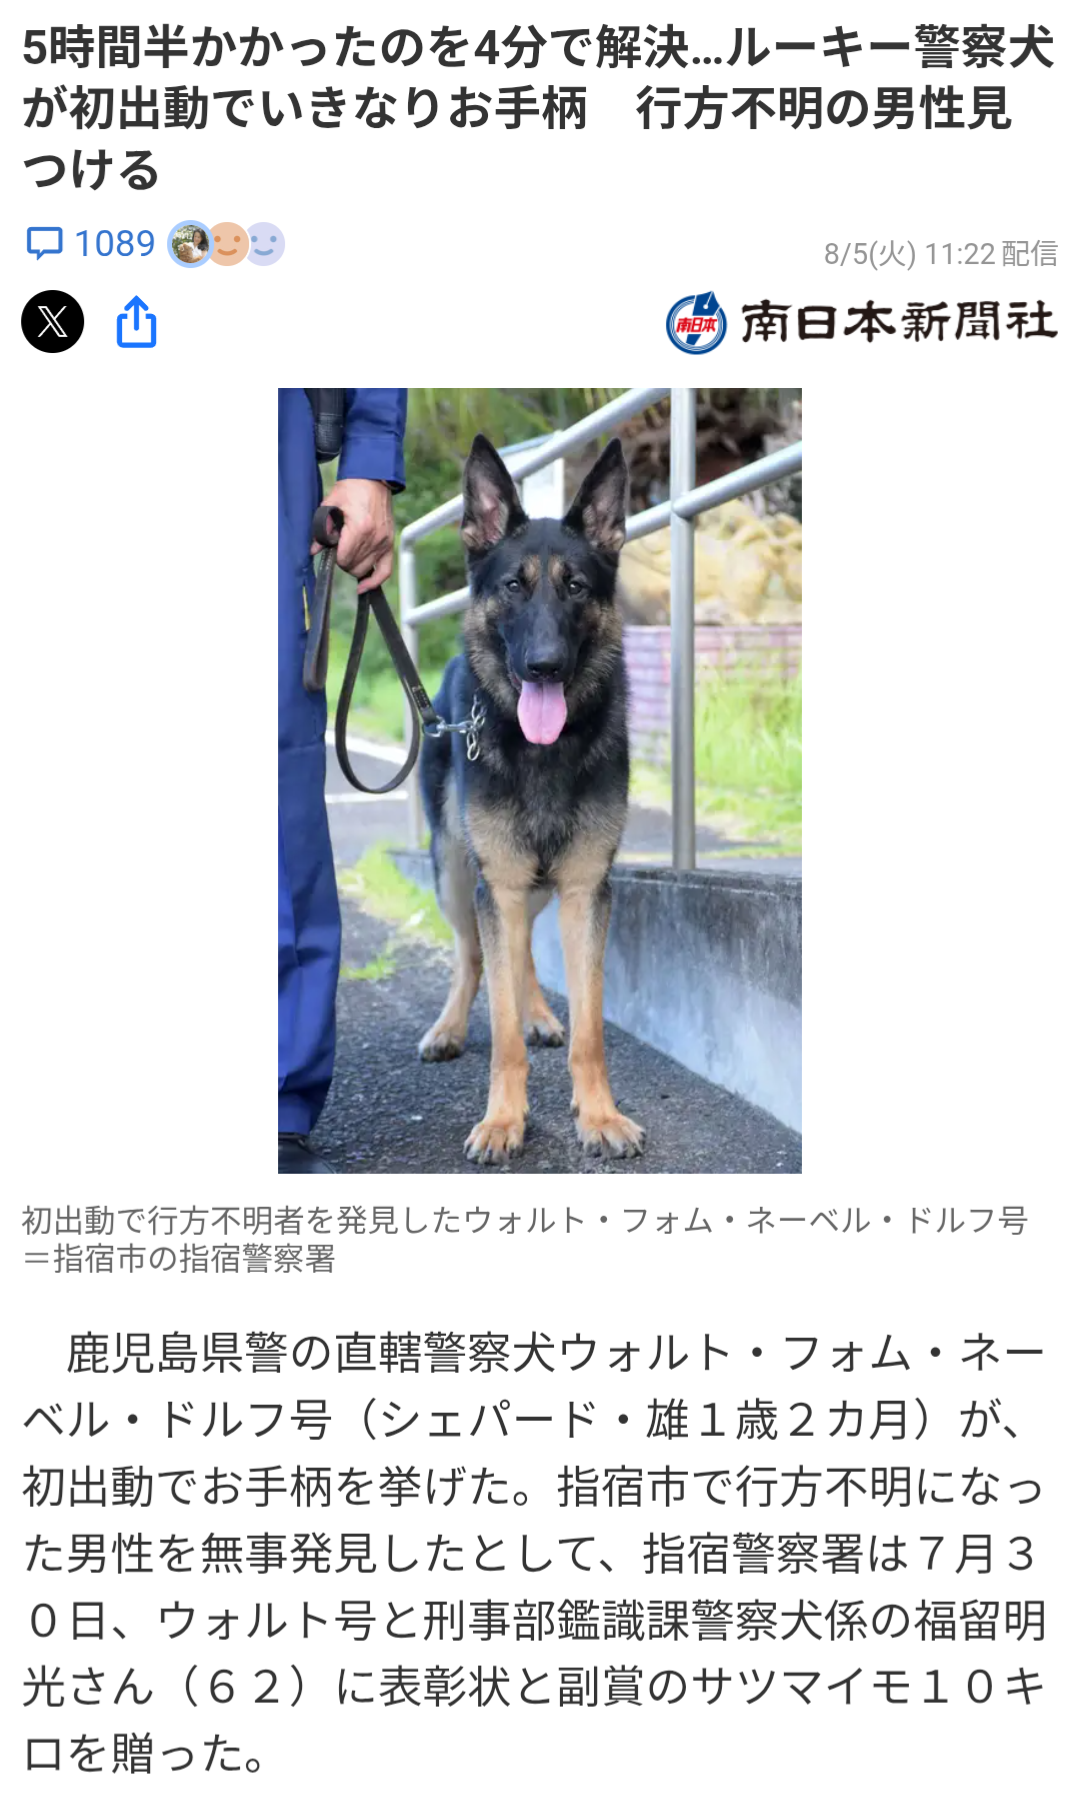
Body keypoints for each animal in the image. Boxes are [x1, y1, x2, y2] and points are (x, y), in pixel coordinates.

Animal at [418, 433, 645, 1166]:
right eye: (513, 586)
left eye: (576, 587)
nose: (544, 665)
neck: (544, 751)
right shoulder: (499, 884)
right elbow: (503, 1029)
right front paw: (502, 1121)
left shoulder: (584, 889)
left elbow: (590, 1026)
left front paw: (599, 1115)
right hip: (455, 872)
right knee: (475, 957)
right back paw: (450, 1026)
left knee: (521, 958)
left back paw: (543, 1011)